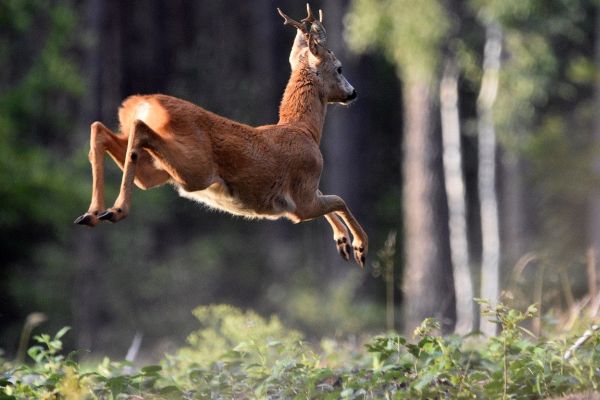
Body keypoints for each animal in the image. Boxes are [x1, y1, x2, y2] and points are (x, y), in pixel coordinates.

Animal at [73, 3, 368, 268]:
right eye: (339, 68)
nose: (353, 92)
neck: (304, 130)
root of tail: (142, 102)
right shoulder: (301, 199)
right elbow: (340, 199)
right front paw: (358, 246)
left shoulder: (306, 195)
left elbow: (332, 198)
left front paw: (342, 241)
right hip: (195, 168)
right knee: (138, 129)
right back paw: (116, 210)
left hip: (159, 171)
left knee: (100, 130)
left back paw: (93, 213)